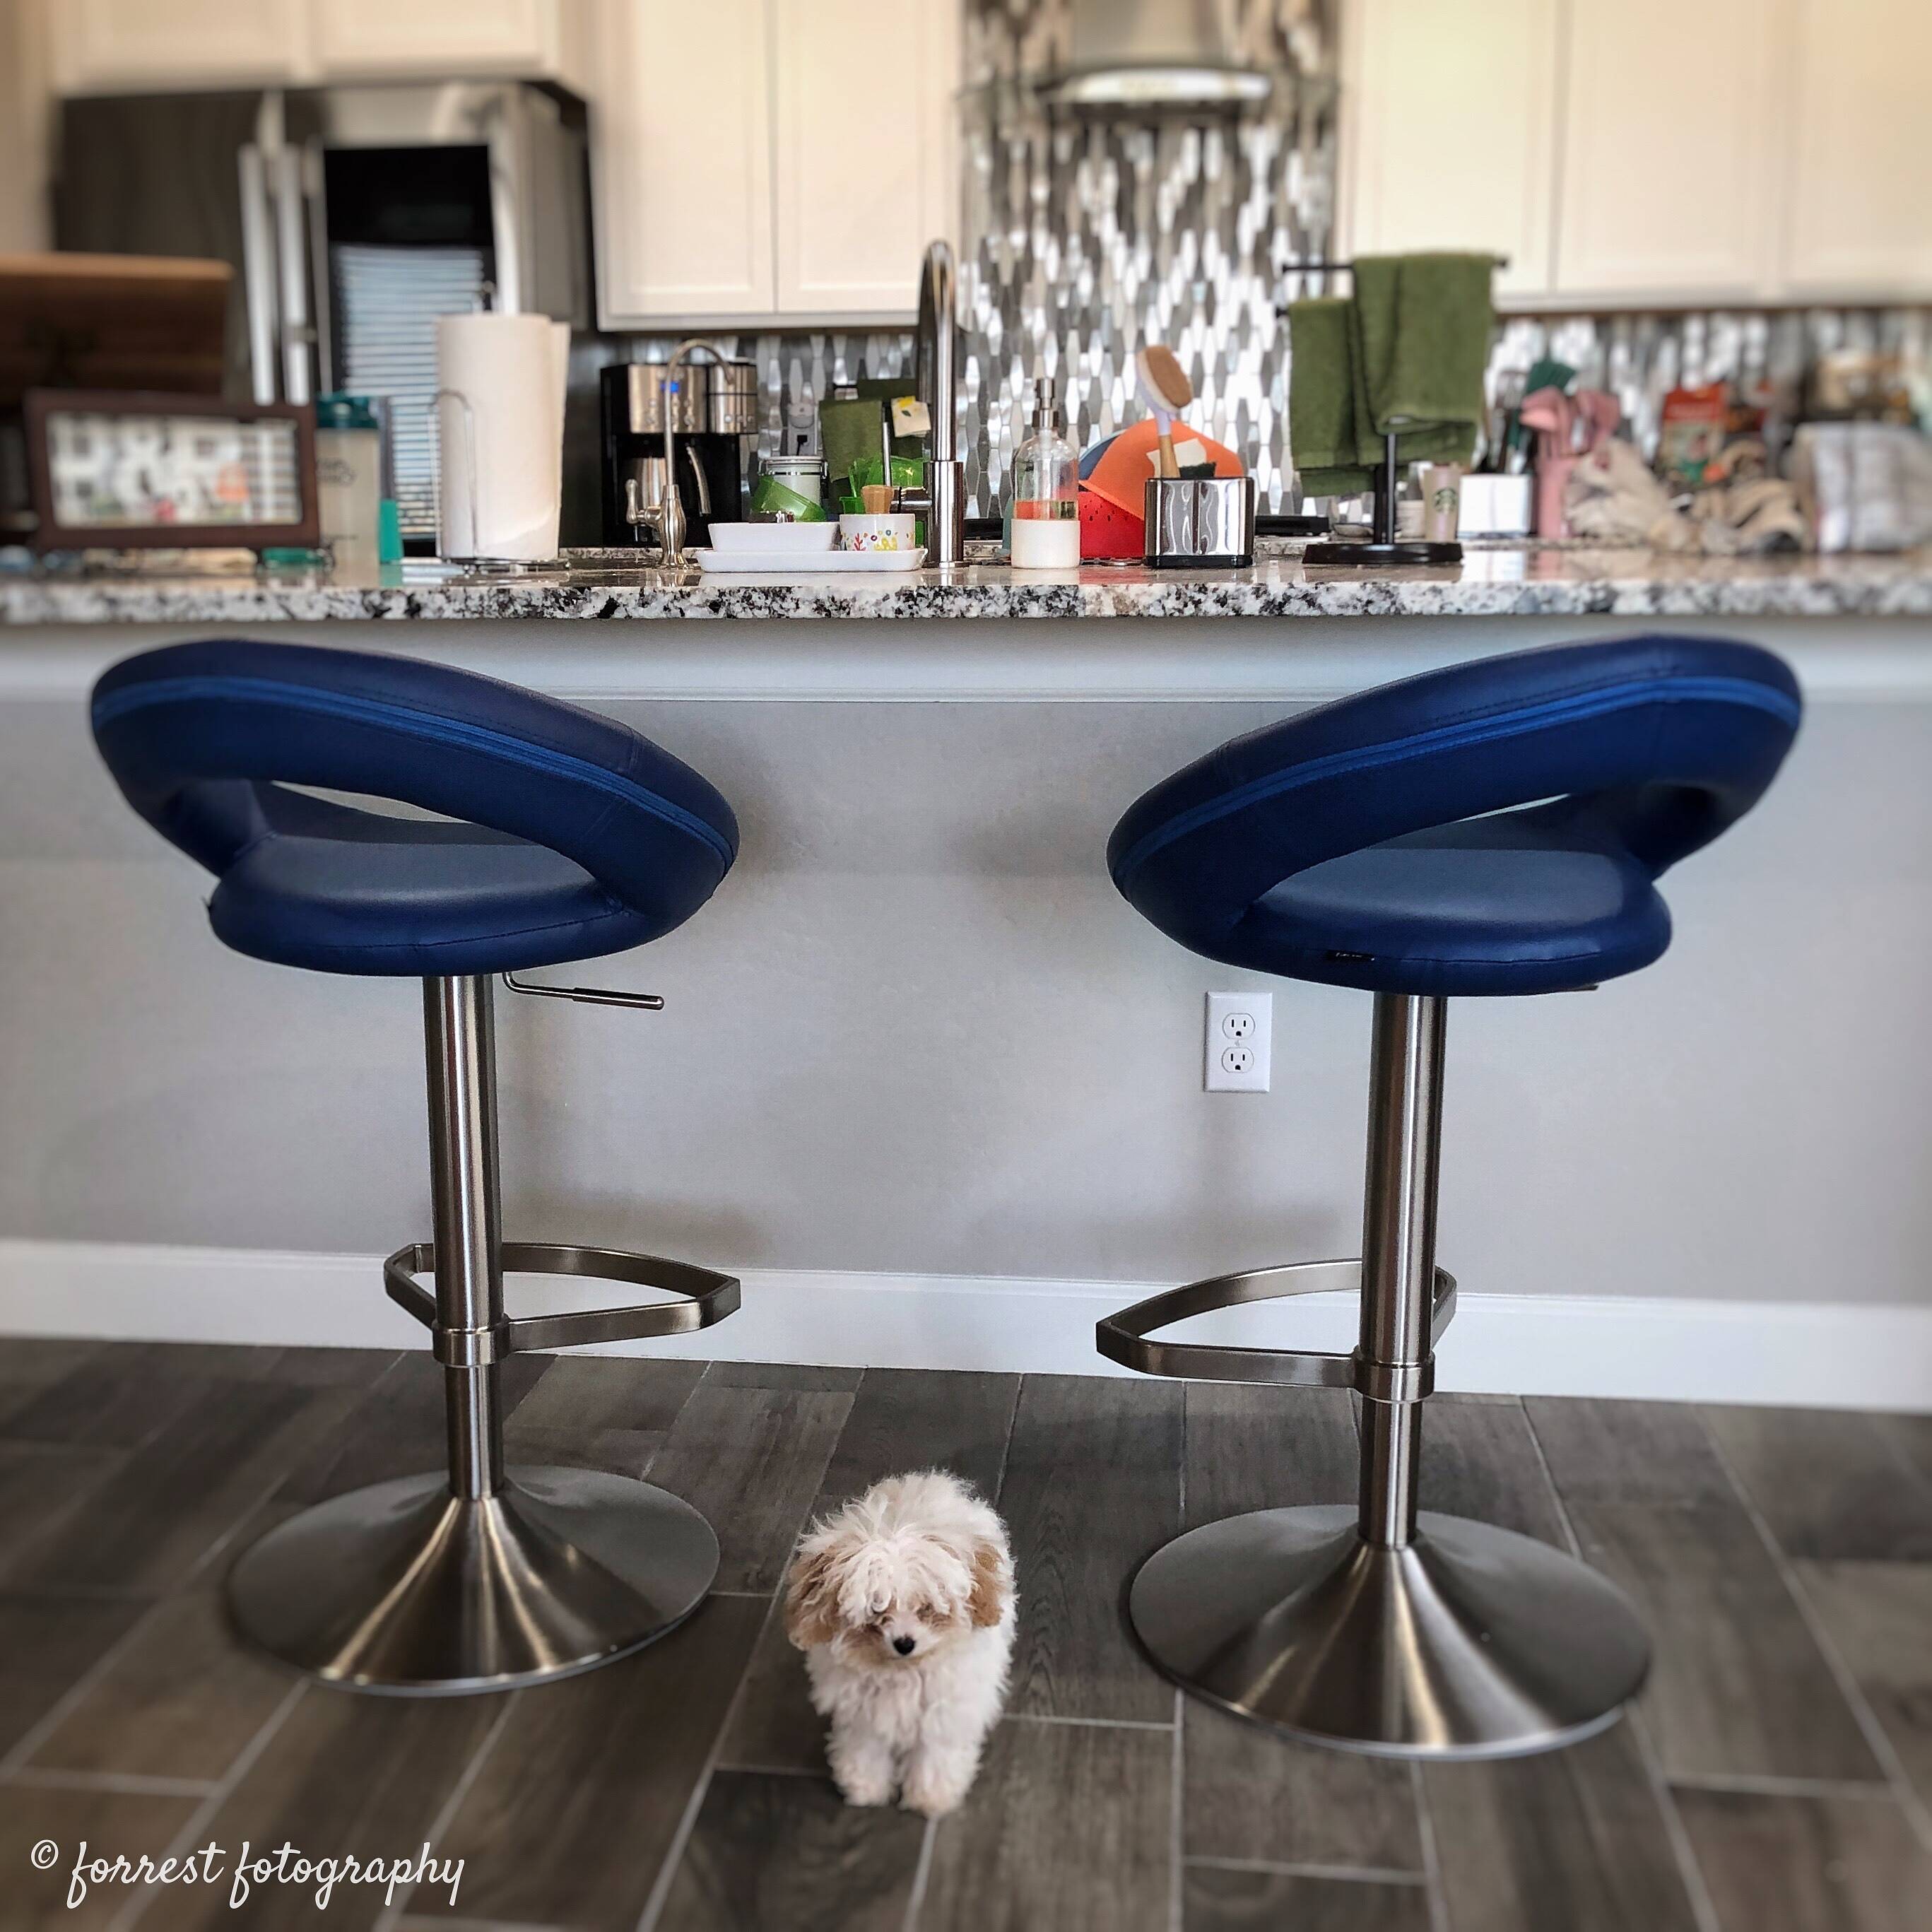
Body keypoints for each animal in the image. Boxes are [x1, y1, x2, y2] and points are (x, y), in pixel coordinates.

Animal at [788, 1468, 1027, 1815]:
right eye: (875, 1610)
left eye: (926, 1608)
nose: (904, 1643)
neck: (903, 1675)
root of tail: (928, 1479)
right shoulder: (862, 1712)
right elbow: (865, 1747)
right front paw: (865, 1787)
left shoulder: (944, 1709)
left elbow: (936, 1752)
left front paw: (932, 1795)